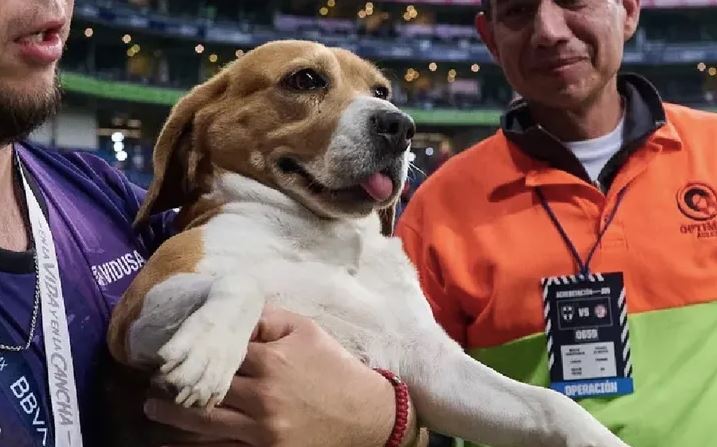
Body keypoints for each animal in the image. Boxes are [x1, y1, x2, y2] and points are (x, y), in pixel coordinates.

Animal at [106, 40, 628, 446]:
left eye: (381, 91)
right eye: (305, 79)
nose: (401, 126)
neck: (326, 238)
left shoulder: (433, 369)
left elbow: (551, 406)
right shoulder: (133, 315)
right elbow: (245, 278)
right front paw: (211, 349)